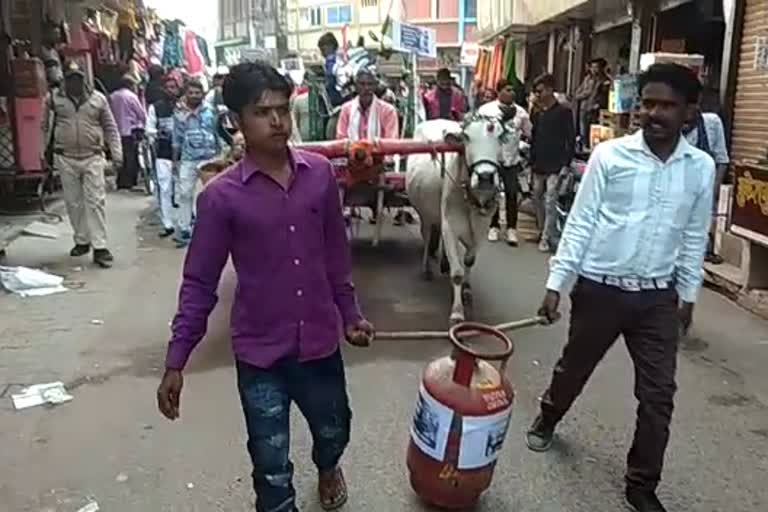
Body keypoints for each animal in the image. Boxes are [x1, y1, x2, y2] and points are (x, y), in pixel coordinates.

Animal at [408, 117, 510, 324]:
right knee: (427, 236)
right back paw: (426, 268)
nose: (485, 177)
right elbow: (457, 274)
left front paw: (467, 290)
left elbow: (469, 261)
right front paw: (457, 312)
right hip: (426, 215)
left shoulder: (481, 230)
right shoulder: (450, 226)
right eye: (467, 137)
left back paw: (444, 263)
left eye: (500, 137)